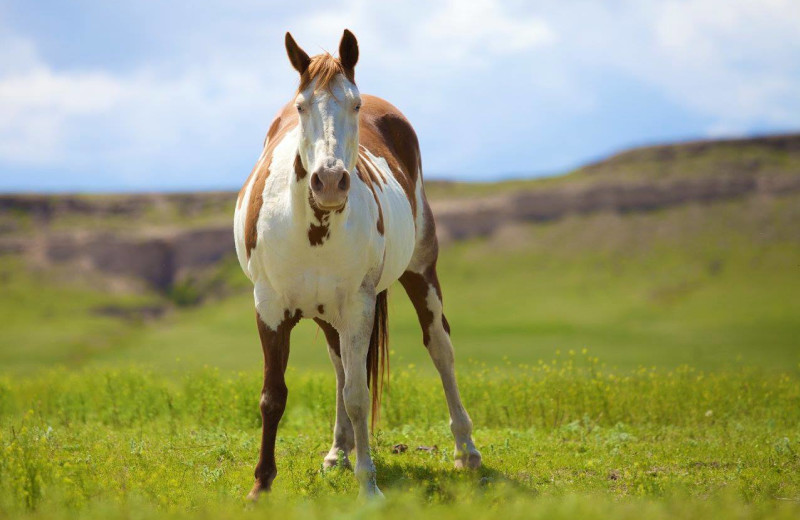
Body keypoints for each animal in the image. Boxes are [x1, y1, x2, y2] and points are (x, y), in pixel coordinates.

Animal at [231, 29, 482, 500]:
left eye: (356, 104)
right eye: (301, 106)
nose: (330, 181)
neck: (311, 227)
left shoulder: (358, 306)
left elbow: (358, 395)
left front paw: (369, 485)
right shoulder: (269, 309)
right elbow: (273, 396)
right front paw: (261, 486)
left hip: (421, 273)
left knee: (440, 349)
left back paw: (467, 451)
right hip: (328, 315)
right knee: (338, 366)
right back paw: (336, 453)